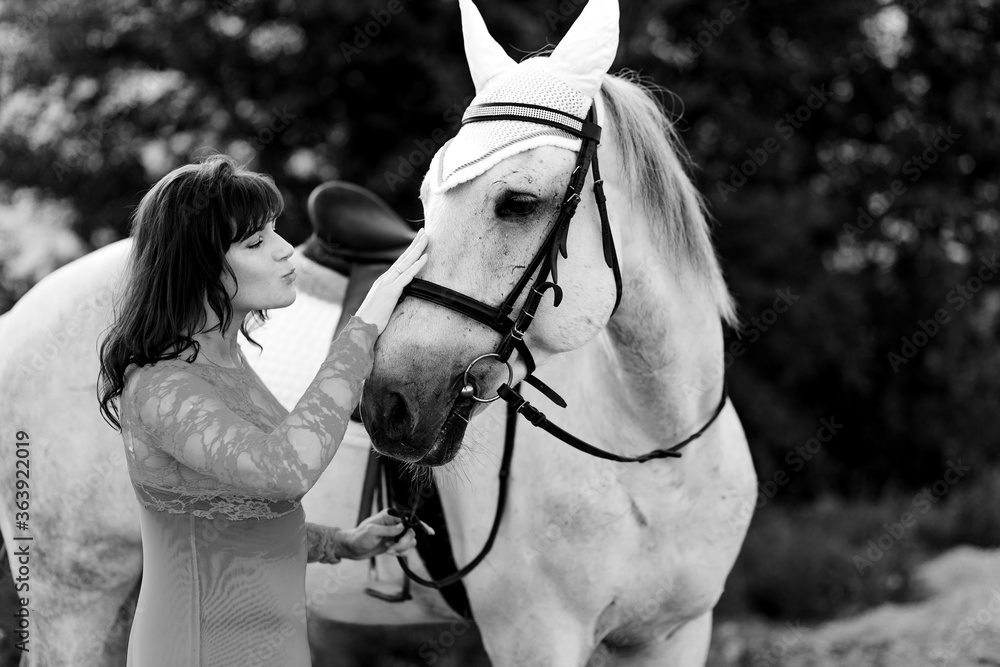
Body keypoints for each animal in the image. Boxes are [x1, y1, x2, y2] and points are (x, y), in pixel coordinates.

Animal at [357, 0, 757, 664]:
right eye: (426, 198)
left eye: (518, 202)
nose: (388, 403)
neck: (654, 450)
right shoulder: (536, 636)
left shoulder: (676, 634)